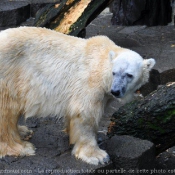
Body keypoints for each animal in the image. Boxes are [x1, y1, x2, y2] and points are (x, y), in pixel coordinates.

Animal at [0, 26, 155, 165]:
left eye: (129, 75)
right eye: (114, 73)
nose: (115, 91)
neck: (102, 58)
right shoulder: (90, 82)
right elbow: (85, 114)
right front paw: (97, 156)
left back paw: (23, 131)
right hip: (9, 73)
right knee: (7, 110)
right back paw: (21, 147)